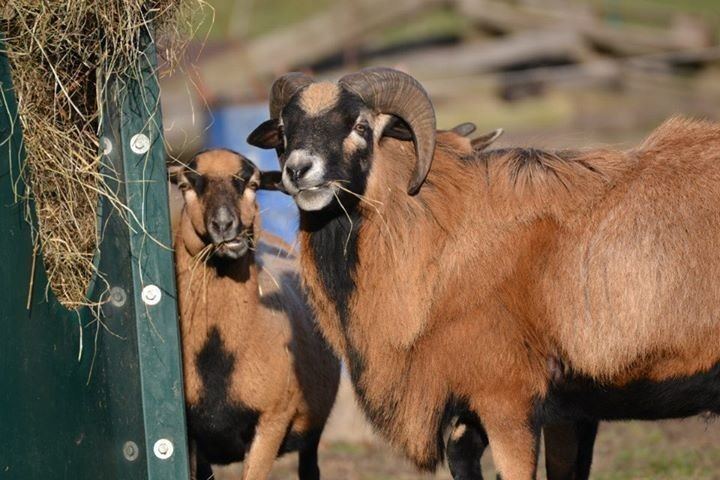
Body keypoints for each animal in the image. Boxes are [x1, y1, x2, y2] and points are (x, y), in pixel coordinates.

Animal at [169, 150, 340, 480]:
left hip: (313, 426)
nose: (225, 225)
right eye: (185, 185)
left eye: (253, 184)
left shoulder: (273, 420)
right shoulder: (191, 433)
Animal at [246, 67, 720, 480]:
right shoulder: (556, 411)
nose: (298, 171)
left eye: (361, 126)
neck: (441, 231)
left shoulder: (507, 400)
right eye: (284, 131)